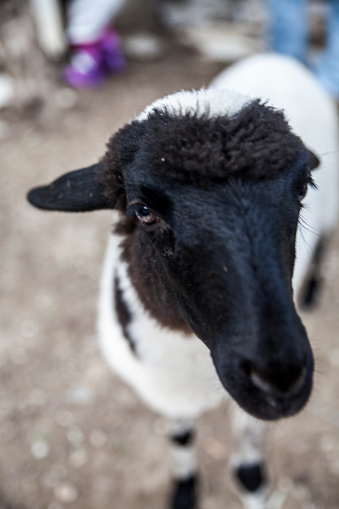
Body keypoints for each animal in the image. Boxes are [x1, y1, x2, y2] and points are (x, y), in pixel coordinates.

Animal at [27, 53, 339, 506]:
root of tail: (274, 57)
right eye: (143, 211)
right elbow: (180, 436)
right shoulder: (166, 388)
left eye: (302, 190)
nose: (279, 377)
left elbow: (248, 471)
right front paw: (184, 488)